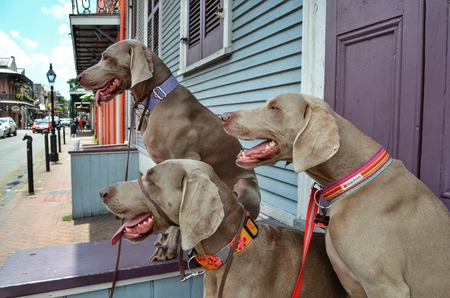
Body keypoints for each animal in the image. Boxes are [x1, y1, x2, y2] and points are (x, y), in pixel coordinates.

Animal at [76, 39, 260, 260]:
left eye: (106, 57)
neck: (157, 98)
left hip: (244, 185)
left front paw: (169, 247)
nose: (78, 78)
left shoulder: (185, 157)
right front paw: (164, 236)